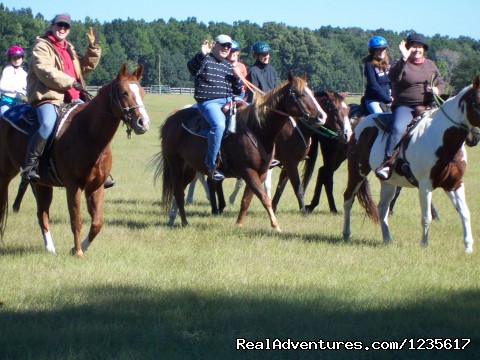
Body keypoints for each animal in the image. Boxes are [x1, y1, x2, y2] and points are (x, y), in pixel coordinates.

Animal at [0, 64, 150, 256]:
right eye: (124, 93)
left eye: (142, 92)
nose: (143, 123)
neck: (88, 134)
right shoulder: (73, 186)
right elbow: (76, 220)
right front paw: (78, 252)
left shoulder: (96, 187)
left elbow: (97, 223)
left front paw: (79, 248)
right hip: (5, 174)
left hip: (41, 184)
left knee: (42, 215)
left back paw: (51, 249)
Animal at [153, 72, 326, 231]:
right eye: (300, 93)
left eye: (312, 93)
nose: (322, 116)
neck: (256, 130)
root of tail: (170, 119)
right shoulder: (251, 170)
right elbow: (265, 197)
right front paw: (276, 225)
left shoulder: (261, 171)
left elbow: (247, 199)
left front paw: (239, 223)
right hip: (175, 164)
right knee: (179, 192)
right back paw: (184, 221)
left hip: (189, 167)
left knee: (182, 190)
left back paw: (173, 218)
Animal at [342, 75, 480, 253]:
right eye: (476, 103)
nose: (475, 138)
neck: (443, 139)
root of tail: (360, 123)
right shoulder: (425, 185)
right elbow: (426, 217)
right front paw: (424, 244)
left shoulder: (454, 184)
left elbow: (464, 213)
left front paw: (468, 247)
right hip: (357, 170)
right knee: (348, 199)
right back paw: (346, 234)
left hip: (388, 182)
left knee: (382, 208)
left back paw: (387, 239)